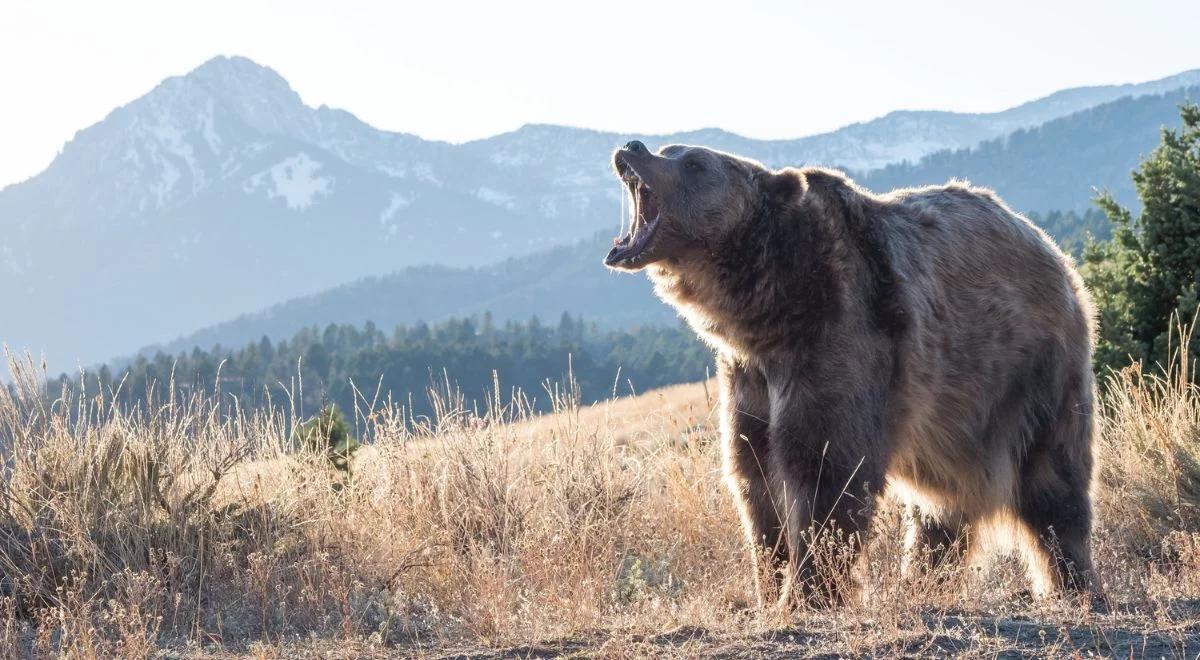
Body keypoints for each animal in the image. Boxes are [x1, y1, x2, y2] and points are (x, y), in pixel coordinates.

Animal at [609, 141, 1099, 609]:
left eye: (693, 162)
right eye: (669, 149)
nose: (632, 147)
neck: (767, 312)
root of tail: (1051, 249)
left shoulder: (839, 335)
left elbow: (827, 470)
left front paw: (806, 593)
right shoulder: (749, 378)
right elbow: (755, 476)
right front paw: (769, 584)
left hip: (1029, 370)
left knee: (1053, 481)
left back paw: (1075, 583)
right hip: (954, 412)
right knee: (941, 502)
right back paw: (921, 578)